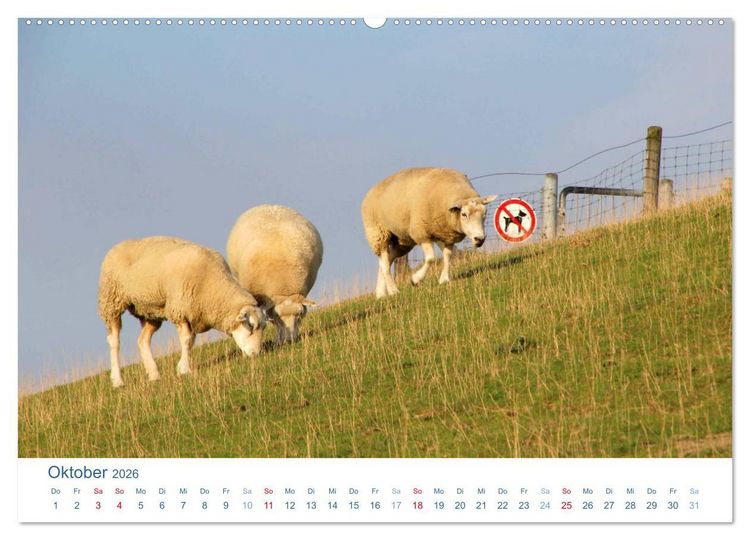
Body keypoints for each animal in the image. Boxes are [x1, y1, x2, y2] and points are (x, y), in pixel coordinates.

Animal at [98, 236, 267, 388]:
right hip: (111, 300)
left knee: (143, 340)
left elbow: (190, 341)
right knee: (114, 341)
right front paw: (184, 369)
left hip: (150, 311)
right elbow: (185, 340)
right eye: (250, 327)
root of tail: (118, 245)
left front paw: (181, 367)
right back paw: (117, 380)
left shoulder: (193, 313)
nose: (255, 354)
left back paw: (154, 374)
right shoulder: (179, 311)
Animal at [361, 167, 497, 298]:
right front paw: (415, 279)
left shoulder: (446, 235)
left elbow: (448, 255)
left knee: (386, 261)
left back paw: (381, 293)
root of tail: (372, 189)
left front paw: (444, 279)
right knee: (384, 261)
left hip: (403, 240)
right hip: (378, 232)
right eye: (464, 214)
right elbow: (431, 258)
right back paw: (393, 291)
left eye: (485, 213)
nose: (480, 239)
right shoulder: (422, 233)